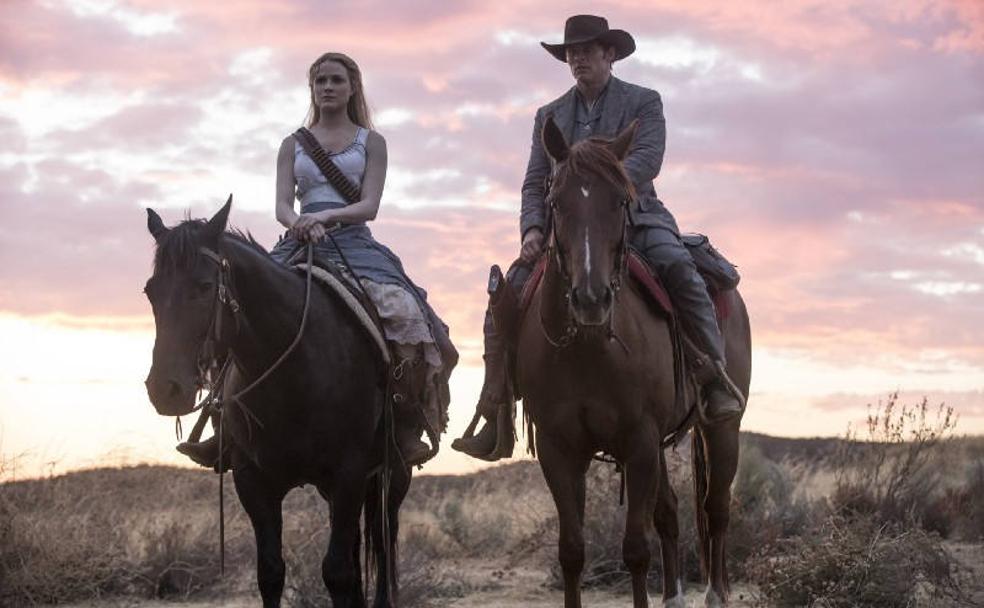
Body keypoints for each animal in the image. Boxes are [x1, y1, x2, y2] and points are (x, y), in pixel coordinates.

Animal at [516, 117, 752, 608]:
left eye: (621, 200)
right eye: (555, 200)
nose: (590, 299)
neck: (589, 349)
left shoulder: (639, 440)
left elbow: (635, 549)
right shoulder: (558, 448)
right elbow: (572, 550)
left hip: (720, 428)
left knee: (716, 509)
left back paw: (715, 593)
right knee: (671, 513)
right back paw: (673, 596)